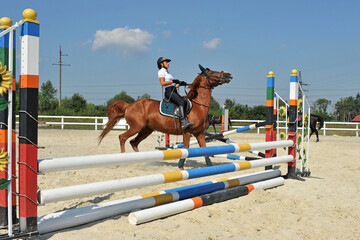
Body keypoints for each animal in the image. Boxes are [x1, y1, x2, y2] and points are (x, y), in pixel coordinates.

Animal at [99, 64, 233, 168]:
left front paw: (210, 166)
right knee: (122, 138)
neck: (198, 106)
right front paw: (180, 166)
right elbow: (186, 148)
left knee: (134, 142)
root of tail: (129, 105)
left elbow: (204, 150)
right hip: (136, 127)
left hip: (146, 130)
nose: (229, 75)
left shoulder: (199, 133)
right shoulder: (187, 132)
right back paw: (123, 160)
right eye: (212, 72)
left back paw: (140, 161)